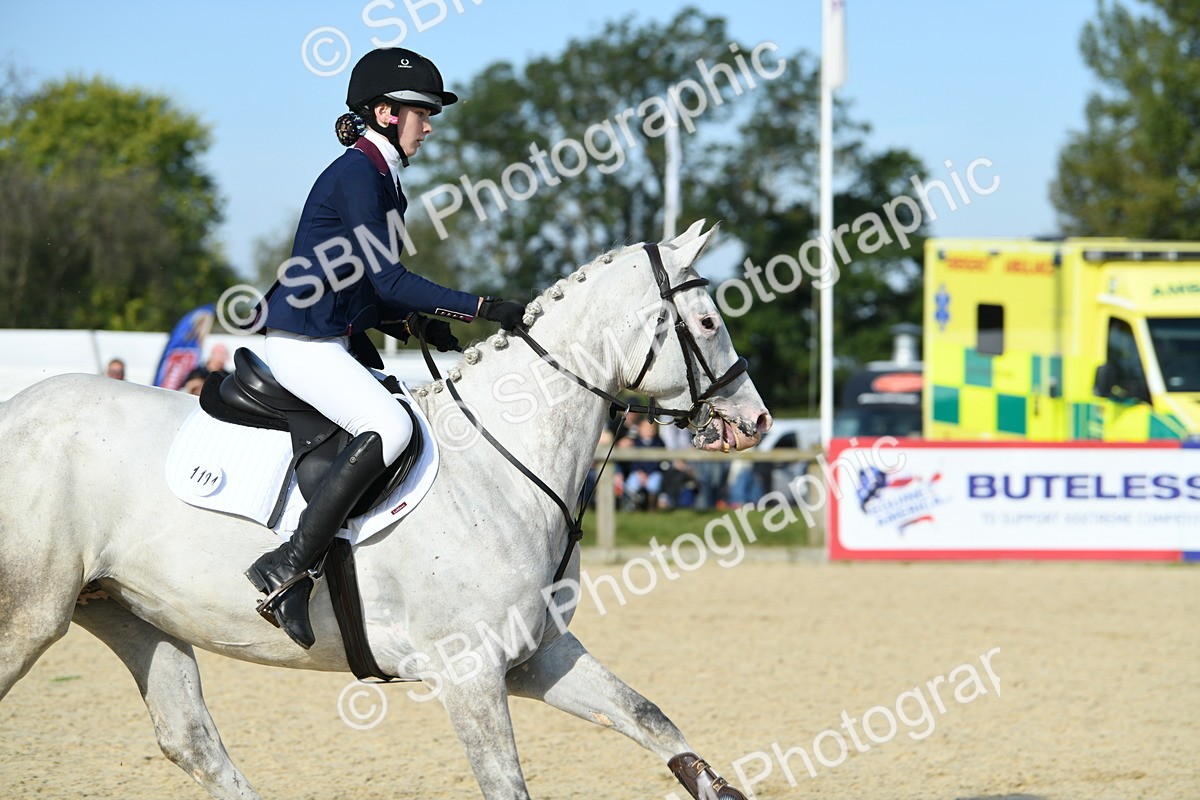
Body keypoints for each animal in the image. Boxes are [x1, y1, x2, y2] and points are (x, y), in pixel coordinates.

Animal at [0, 221, 771, 799]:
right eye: (707, 321)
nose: (755, 421)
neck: (501, 459)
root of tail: (17, 409)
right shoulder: (468, 674)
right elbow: (507, 784)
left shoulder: (535, 655)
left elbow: (650, 717)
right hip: (32, 612)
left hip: (129, 612)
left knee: (191, 741)